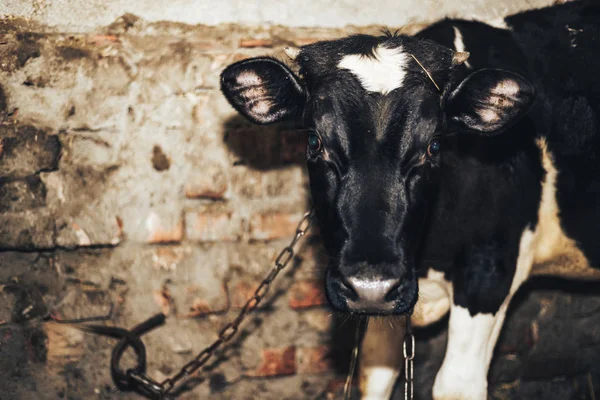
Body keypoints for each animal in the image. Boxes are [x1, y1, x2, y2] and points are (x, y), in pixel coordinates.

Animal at [220, 1, 600, 398]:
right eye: (314, 141)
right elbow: (375, 374)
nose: (370, 286)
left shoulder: (491, 269)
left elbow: (456, 384)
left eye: (434, 146)